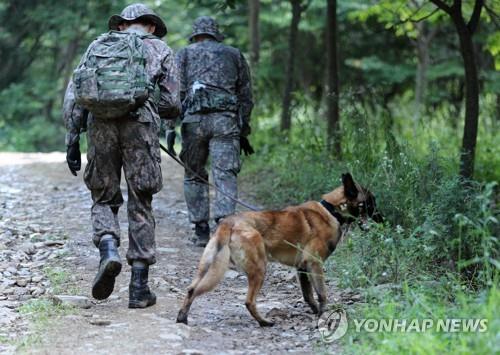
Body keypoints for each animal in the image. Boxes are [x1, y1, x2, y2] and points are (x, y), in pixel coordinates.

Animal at [177, 174, 382, 326]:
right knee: (249, 301)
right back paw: (264, 322)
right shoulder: (314, 264)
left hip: (207, 266)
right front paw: (323, 315)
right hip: (259, 269)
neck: (331, 210)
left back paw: (182, 317)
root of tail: (229, 223)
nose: (382, 219)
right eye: (371, 202)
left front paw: (316, 312)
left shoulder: (302, 268)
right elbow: (322, 294)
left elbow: (308, 295)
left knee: (191, 289)